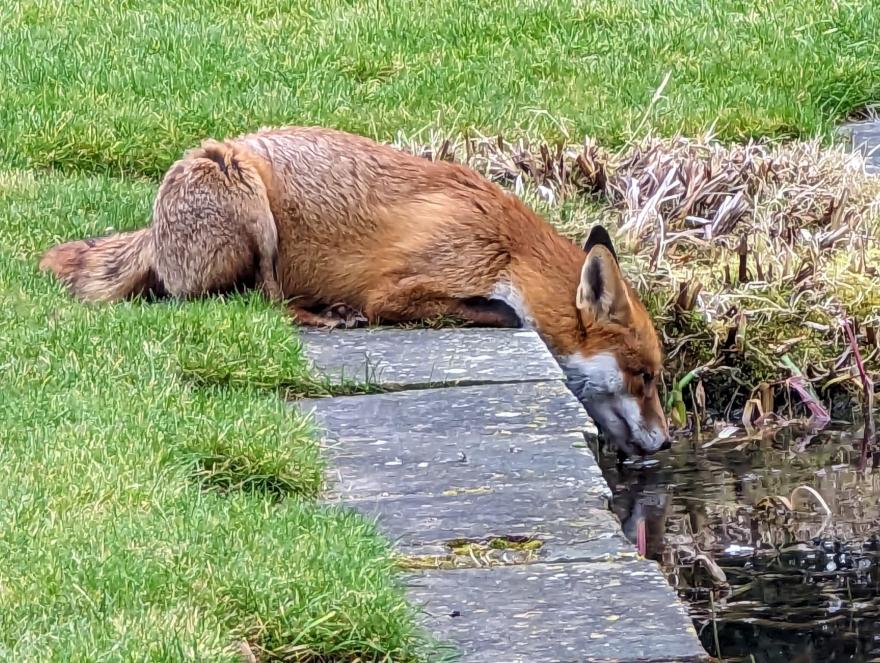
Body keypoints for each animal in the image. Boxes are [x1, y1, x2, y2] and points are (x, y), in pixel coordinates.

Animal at [41, 125, 672, 456]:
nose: (667, 444)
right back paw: (326, 315)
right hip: (246, 198)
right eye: (644, 377)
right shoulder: (400, 292)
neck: (508, 246)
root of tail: (150, 230)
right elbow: (508, 315)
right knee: (260, 301)